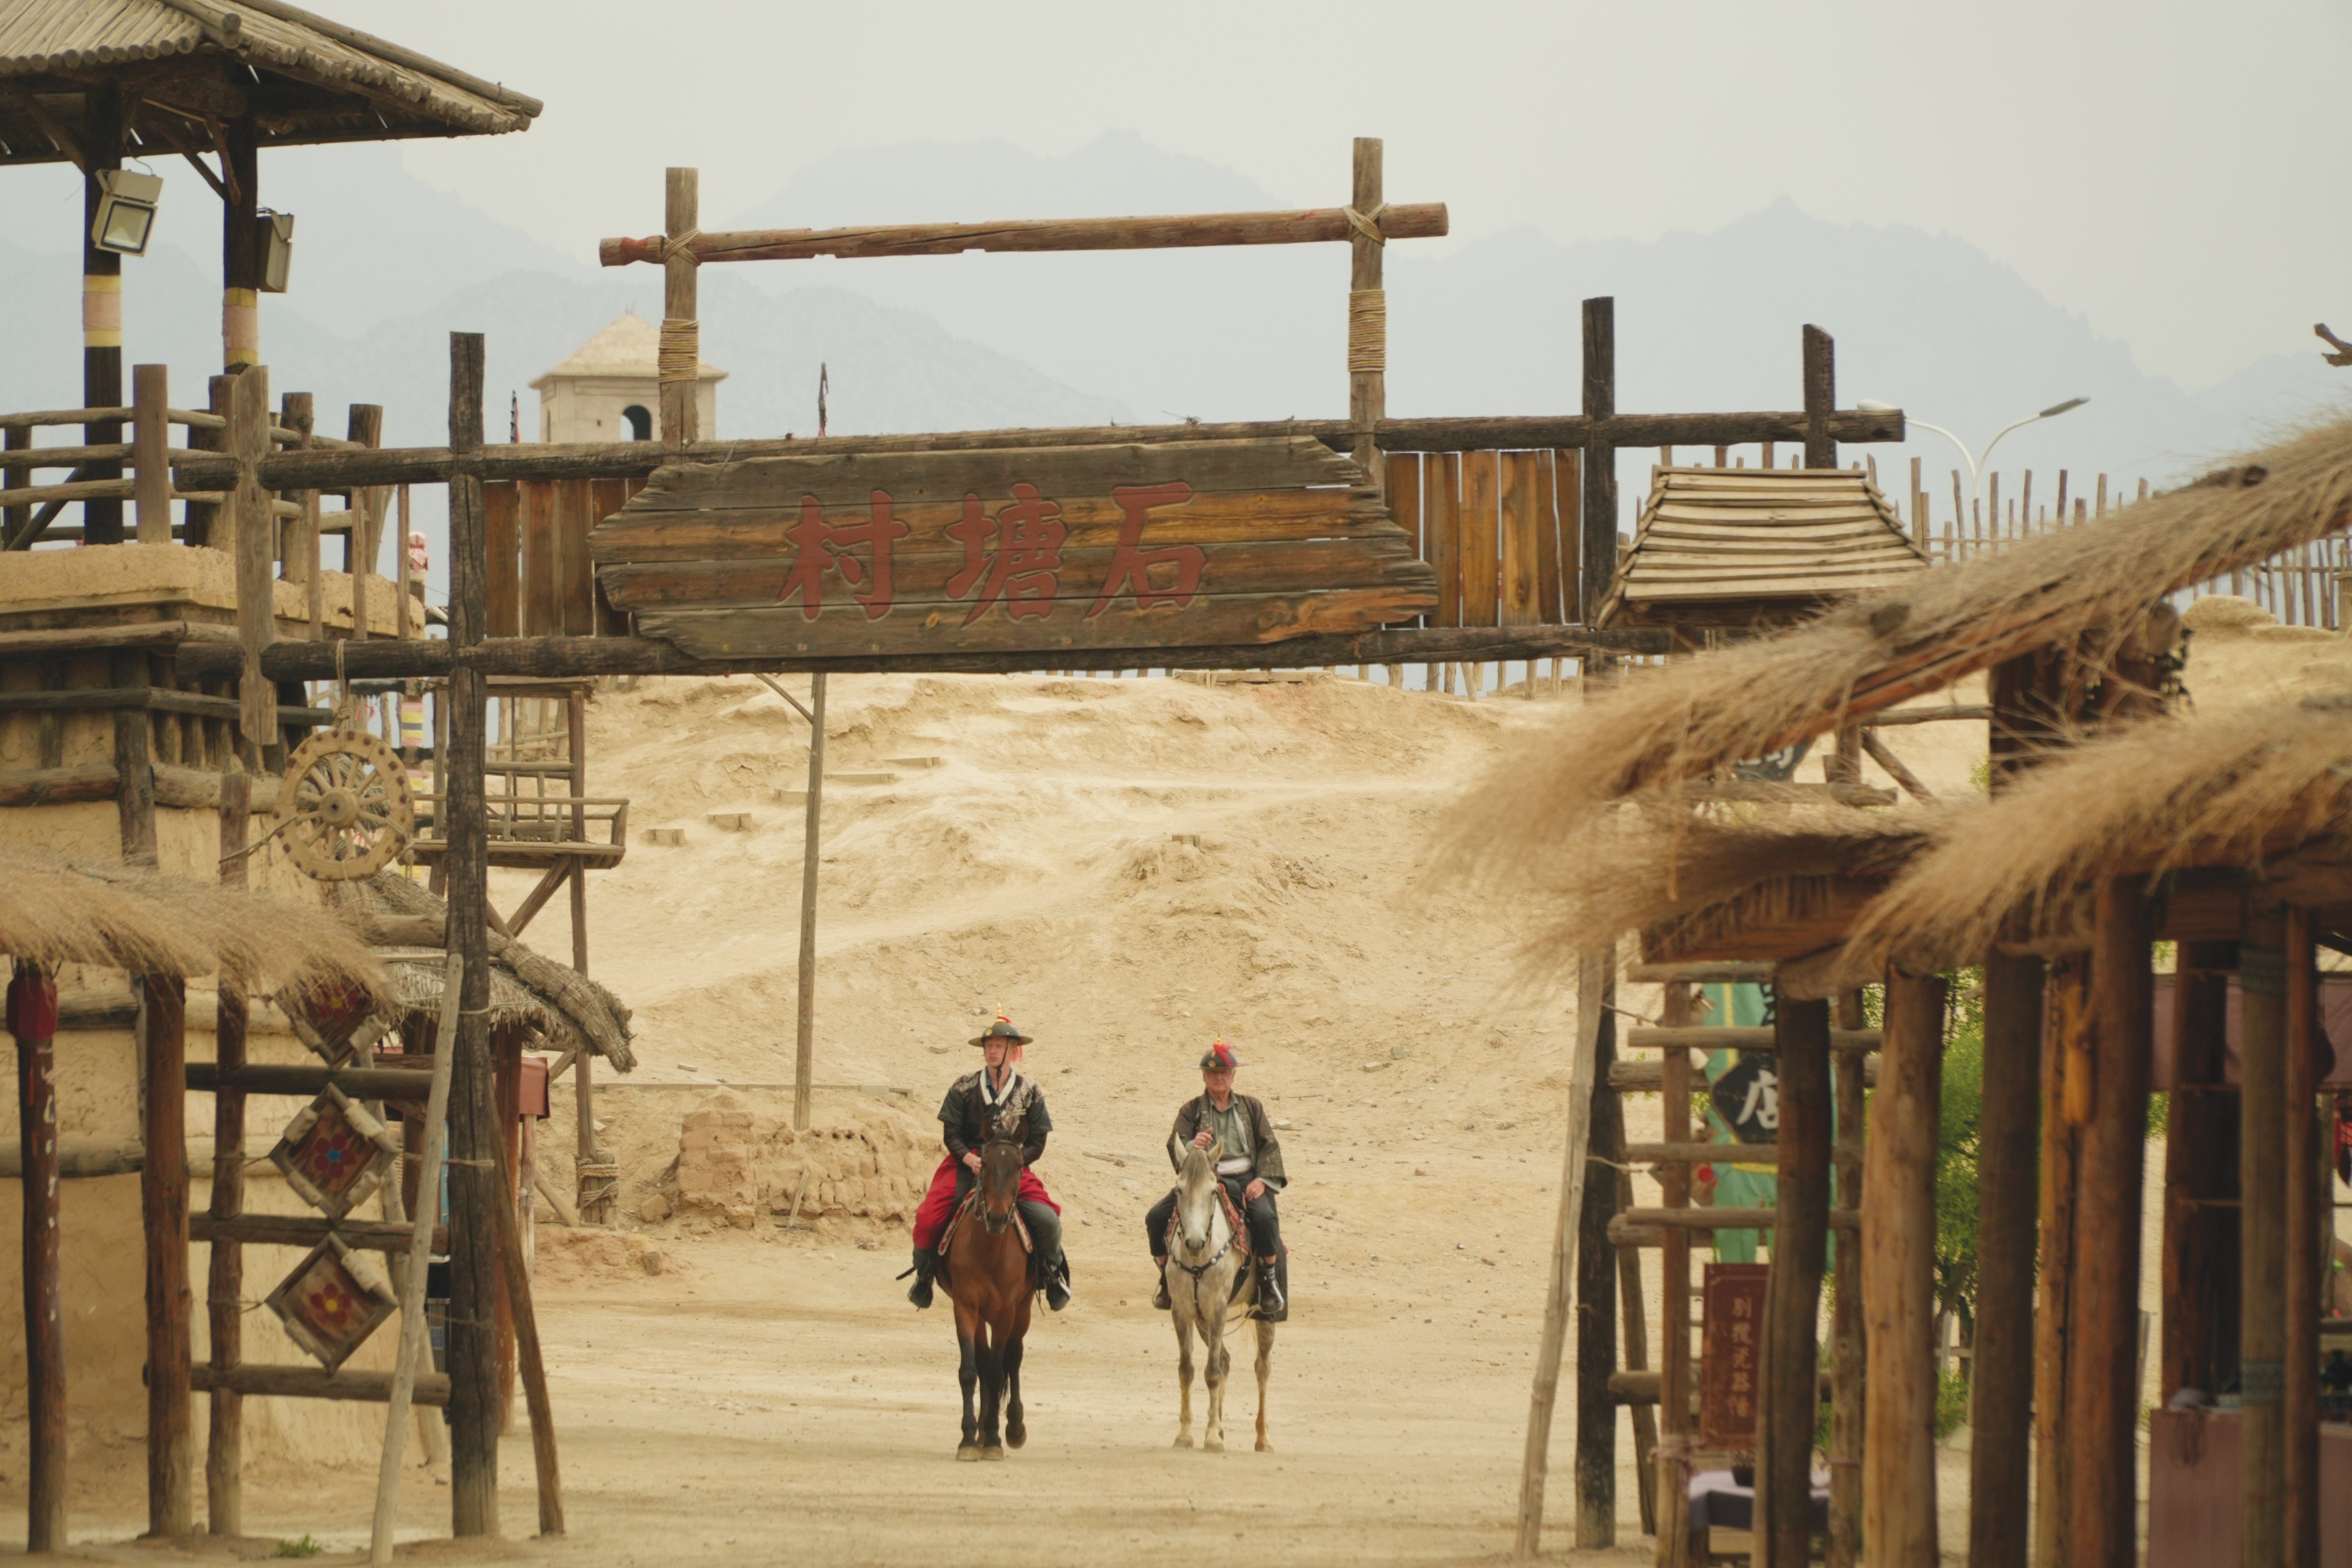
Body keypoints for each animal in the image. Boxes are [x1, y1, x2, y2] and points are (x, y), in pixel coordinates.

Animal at [941, 1114, 1035, 1457]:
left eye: (1019, 1166)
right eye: (984, 1163)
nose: (996, 1217)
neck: (990, 1253)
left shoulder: (1007, 1311)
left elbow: (997, 1372)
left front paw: (994, 1439)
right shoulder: (966, 1306)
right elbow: (972, 1371)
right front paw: (970, 1438)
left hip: (1023, 1309)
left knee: (1013, 1357)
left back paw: (1014, 1428)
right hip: (983, 1315)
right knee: (984, 1362)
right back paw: (981, 1432)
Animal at [1166, 1133, 1279, 1457]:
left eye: (1212, 1191)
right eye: (1178, 1190)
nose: (1193, 1243)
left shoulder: (1217, 1307)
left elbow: (1212, 1373)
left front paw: (1212, 1440)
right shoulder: (1183, 1311)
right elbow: (1187, 1370)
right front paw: (1186, 1436)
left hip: (1262, 1315)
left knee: (1262, 1368)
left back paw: (1262, 1439)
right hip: (1202, 1320)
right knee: (1227, 1360)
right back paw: (1219, 1427)